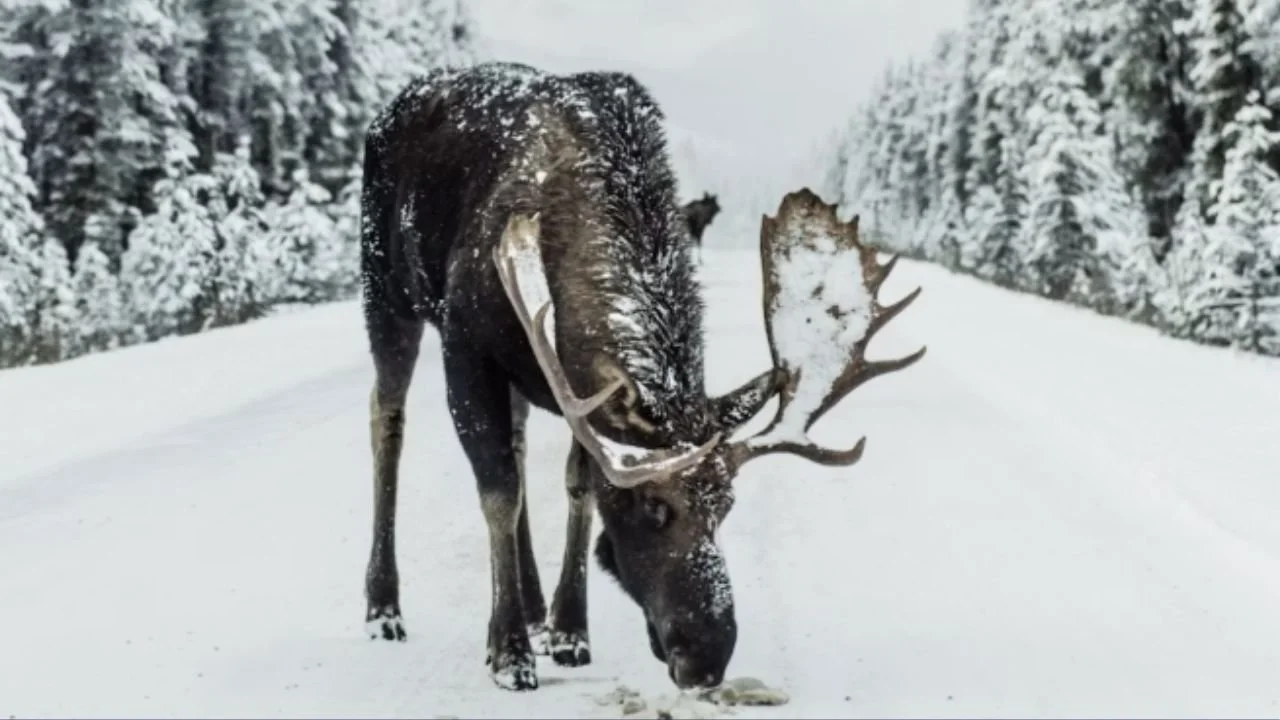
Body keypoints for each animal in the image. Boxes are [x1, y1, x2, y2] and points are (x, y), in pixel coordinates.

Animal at [358, 60, 926, 692]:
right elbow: (498, 492)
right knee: (387, 419)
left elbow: (578, 486)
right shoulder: (466, 345)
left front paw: (569, 630)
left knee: (518, 441)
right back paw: (384, 607)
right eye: (654, 508)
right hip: (386, 291)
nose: (707, 658)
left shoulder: (572, 385)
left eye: (727, 505)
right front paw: (508, 652)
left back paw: (532, 604)